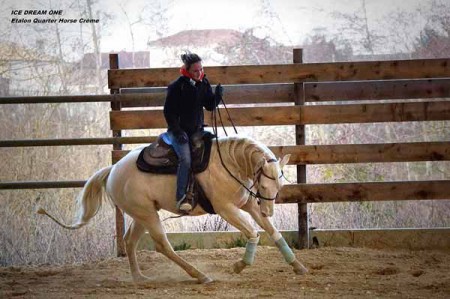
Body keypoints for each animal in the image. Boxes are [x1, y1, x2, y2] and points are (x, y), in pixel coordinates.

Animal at [38, 137, 308, 284]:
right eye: (264, 184)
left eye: (279, 186)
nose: (269, 210)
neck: (228, 164)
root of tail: (113, 170)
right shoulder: (226, 209)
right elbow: (254, 234)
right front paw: (239, 266)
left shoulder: (248, 205)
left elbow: (274, 233)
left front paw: (298, 266)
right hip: (148, 216)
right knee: (162, 246)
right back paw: (200, 275)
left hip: (141, 215)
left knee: (130, 241)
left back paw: (139, 277)